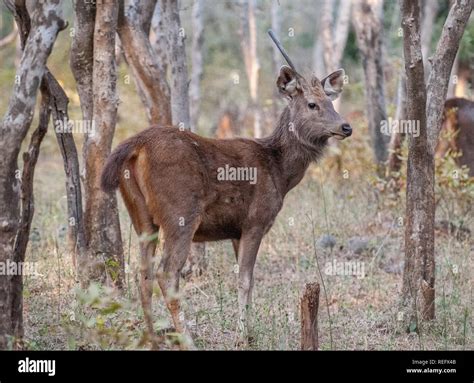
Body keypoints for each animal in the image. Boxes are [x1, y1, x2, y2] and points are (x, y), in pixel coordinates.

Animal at [100, 31, 352, 350]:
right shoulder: (256, 220)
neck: (280, 173)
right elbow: (246, 279)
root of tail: (135, 145)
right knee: (166, 273)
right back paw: (187, 339)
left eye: (330, 101)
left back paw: (153, 339)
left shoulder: (235, 230)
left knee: (142, 275)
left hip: (142, 216)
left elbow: (244, 279)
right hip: (180, 212)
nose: (346, 126)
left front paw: (249, 331)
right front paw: (244, 336)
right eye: (311, 104)